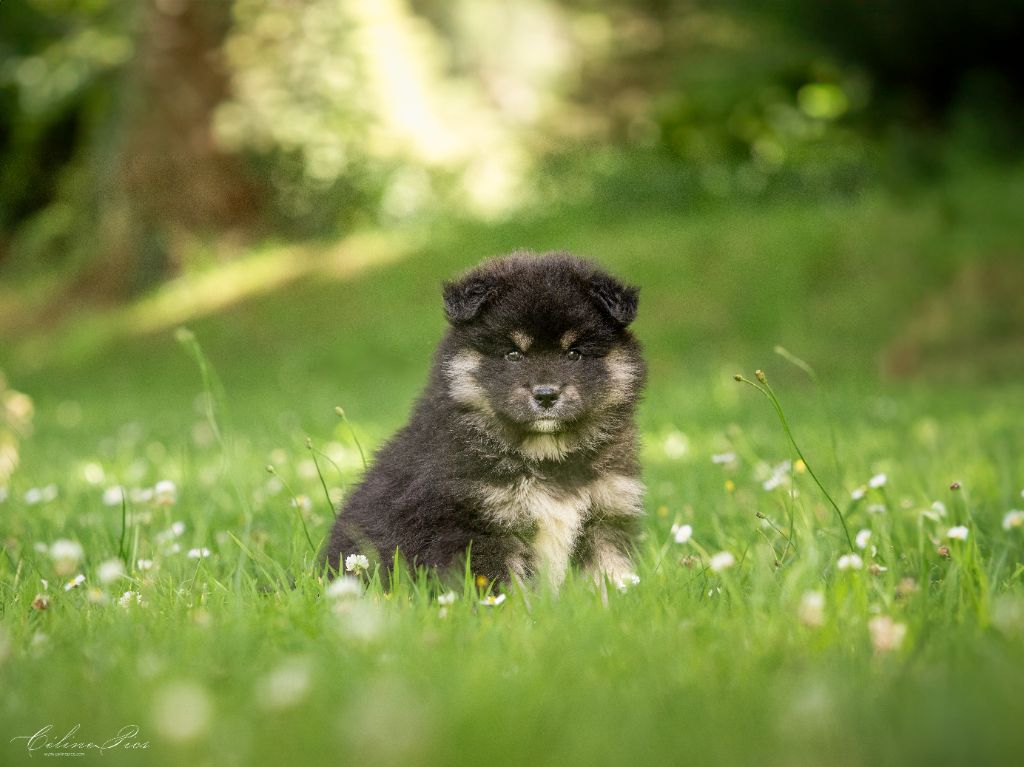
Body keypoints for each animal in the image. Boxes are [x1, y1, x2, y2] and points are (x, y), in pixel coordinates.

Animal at [323, 251, 646, 589]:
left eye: (574, 353)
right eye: (513, 354)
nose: (546, 395)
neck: (545, 455)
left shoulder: (607, 514)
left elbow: (610, 573)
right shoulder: (477, 525)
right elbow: (502, 587)